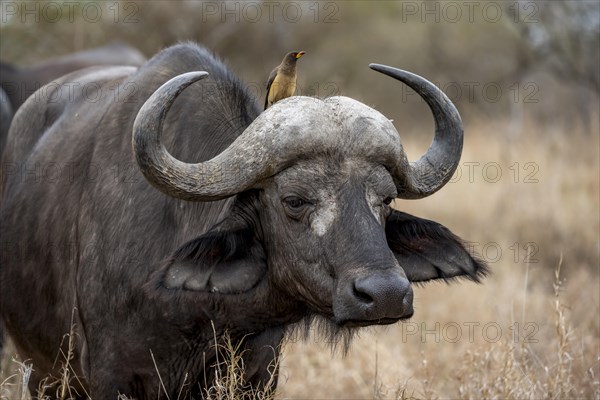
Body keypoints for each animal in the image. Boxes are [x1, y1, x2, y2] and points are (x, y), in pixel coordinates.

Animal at [0, 42, 488, 398]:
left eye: (385, 199)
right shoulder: (110, 376)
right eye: (294, 201)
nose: (385, 295)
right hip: (41, 372)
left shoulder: (257, 373)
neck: (201, 314)